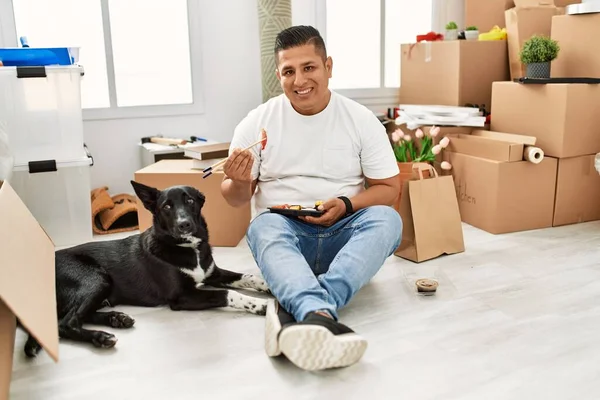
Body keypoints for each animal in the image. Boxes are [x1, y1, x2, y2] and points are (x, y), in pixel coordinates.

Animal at [21, 181, 270, 356]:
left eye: (190, 201)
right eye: (167, 206)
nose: (184, 224)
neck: (187, 247)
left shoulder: (212, 273)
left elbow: (247, 276)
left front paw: (268, 286)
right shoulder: (182, 297)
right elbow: (228, 293)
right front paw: (261, 305)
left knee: (80, 315)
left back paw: (117, 319)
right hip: (96, 278)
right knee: (65, 323)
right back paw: (101, 337)